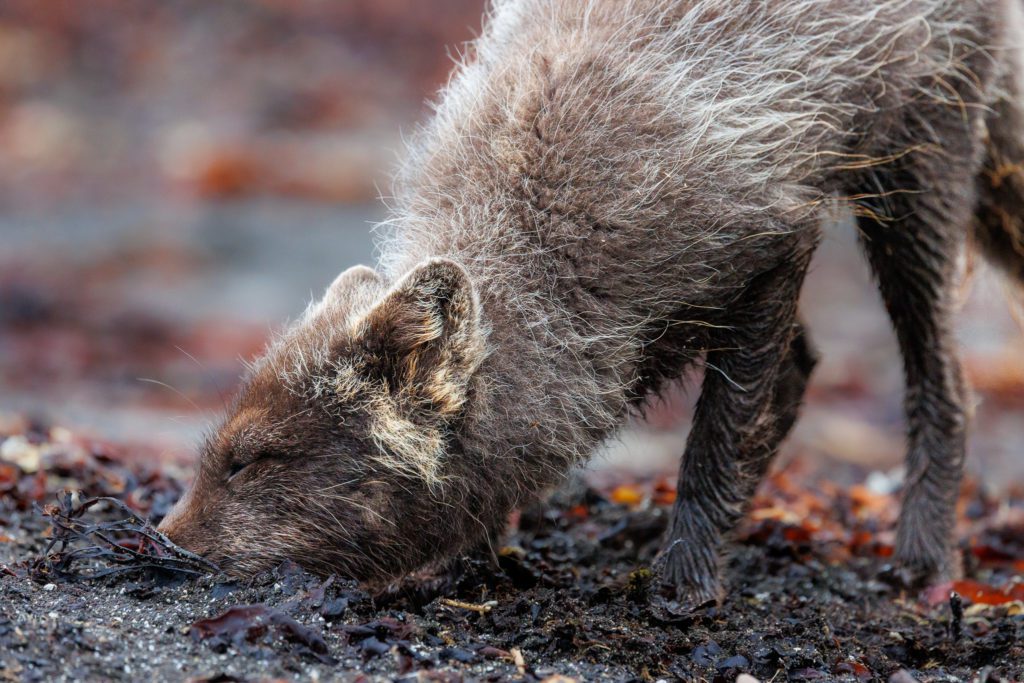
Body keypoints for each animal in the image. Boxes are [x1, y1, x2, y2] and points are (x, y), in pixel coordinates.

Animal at [158, 0, 1024, 609]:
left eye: (252, 459)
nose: (161, 541)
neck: (550, 245)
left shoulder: (774, 248)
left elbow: (716, 438)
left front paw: (684, 584)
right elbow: (756, 409)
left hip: (918, 171)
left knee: (945, 382)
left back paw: (924, 563)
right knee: (807, 369)